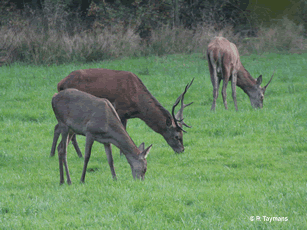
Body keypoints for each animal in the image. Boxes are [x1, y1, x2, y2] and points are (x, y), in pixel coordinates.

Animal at [50, 68, 195, 158]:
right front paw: (121, 154)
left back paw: (58, 154)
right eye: (177, 136)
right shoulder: (120, 109)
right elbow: (123, 130)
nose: (182, 150)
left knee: (58, 127)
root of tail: (60, 83)